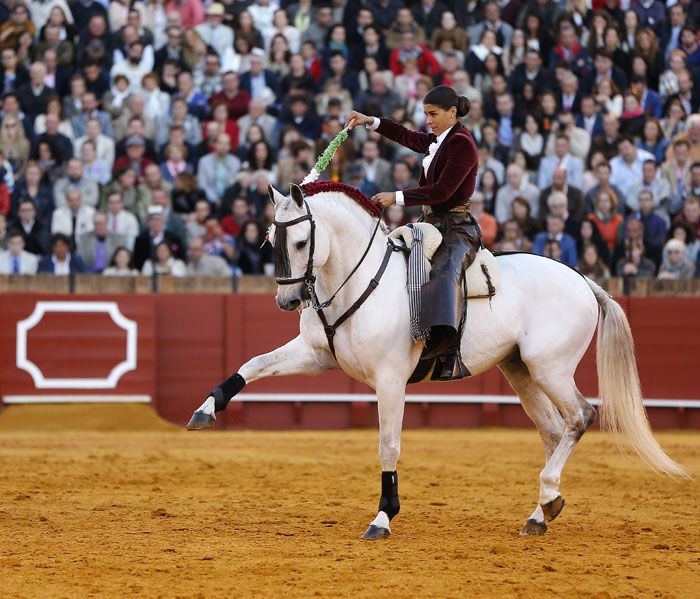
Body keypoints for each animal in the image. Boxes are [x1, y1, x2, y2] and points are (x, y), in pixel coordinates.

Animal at [189, 182, 688, 540]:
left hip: (550, 368)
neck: (357, 279)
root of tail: (585, 282)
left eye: (299, 240)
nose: (287, 300)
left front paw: (383, 518)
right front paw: (205, 410)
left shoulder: (390, 380)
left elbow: (388, 445)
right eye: (270, 238)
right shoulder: (315, 355)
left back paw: (548, 497)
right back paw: (541, 512)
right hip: (520, 371)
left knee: (580, 416)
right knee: (553, 429)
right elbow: (253, 364)